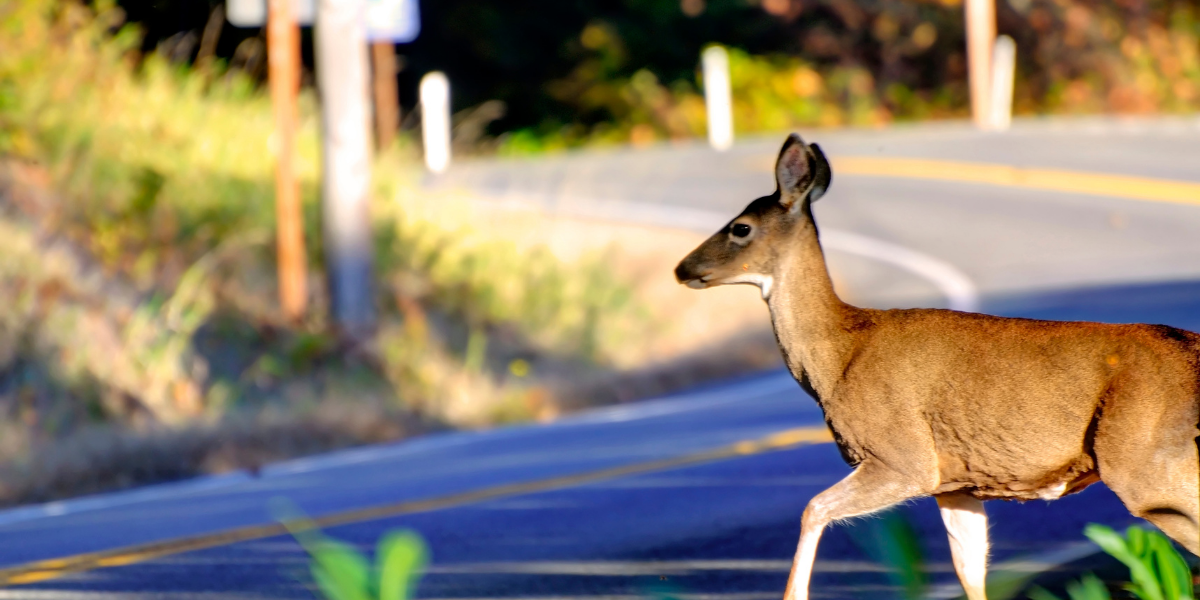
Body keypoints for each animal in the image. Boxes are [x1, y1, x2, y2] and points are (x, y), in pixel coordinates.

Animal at [676, 132, 1200, 600]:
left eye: (740, 227)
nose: (682, 268)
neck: (840, 353)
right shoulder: (958, 483)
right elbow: (970, 572)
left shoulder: (903, 457)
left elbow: (813, 507)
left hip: (1146, 463)